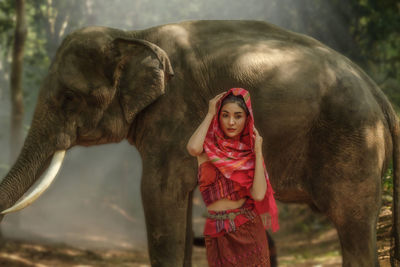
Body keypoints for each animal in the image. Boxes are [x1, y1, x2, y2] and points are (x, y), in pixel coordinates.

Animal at [0, 19, 400, 266]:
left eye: (68, 97)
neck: (134, 34)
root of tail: (381, 97)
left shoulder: (174, 114)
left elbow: (158, 192)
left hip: (355, 144)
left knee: (353, 224)